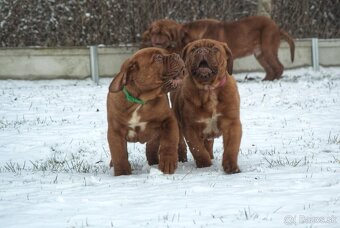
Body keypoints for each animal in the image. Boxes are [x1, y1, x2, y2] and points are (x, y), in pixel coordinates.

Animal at [107, 47, 185, 176]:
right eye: (158, 58)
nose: (177, 55)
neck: (140, 101)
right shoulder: (115, 131)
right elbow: (118, 153)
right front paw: (122, 173)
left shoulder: (168, 120)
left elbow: (169, 141)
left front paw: (168, 162)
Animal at [173, 38, 242, 173]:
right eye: (194, 49)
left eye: (215, 49)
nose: (202, 50)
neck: (209, 89)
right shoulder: (191, 128)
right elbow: (197, 149)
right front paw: (204, 165)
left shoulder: (232, 123)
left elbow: (231, 147)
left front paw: (231, 166)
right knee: (181, 142)